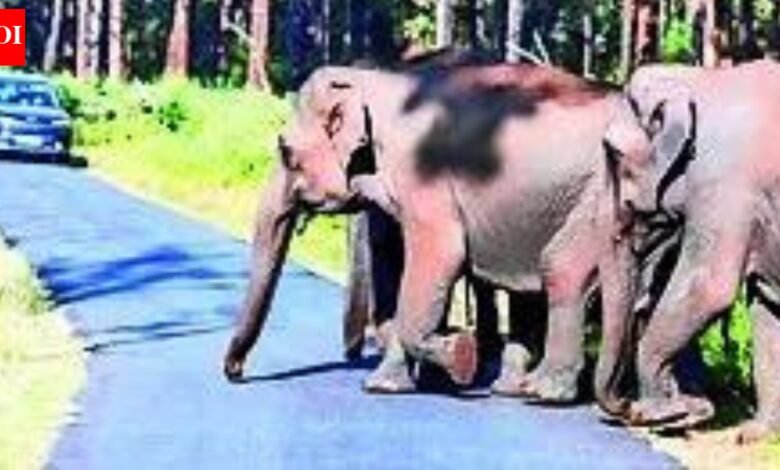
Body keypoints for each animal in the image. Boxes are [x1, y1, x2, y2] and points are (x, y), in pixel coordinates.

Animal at [222, 61, 640, 408]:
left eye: (285, 151)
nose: (236, 373)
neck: (373, 80)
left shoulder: (422, 175)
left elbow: (440, 255)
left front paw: (460, 356)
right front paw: (387, 384)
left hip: (597, 205)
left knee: (564, 272)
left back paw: (544, 394)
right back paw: (511, 389)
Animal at [600, 59, 780, 442]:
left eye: (615, 153)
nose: (626, 407)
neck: (698, 80)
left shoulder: (725, 184)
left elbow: (710, 288)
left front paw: (663, 414)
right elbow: (765, 310)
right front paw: (753, 435)